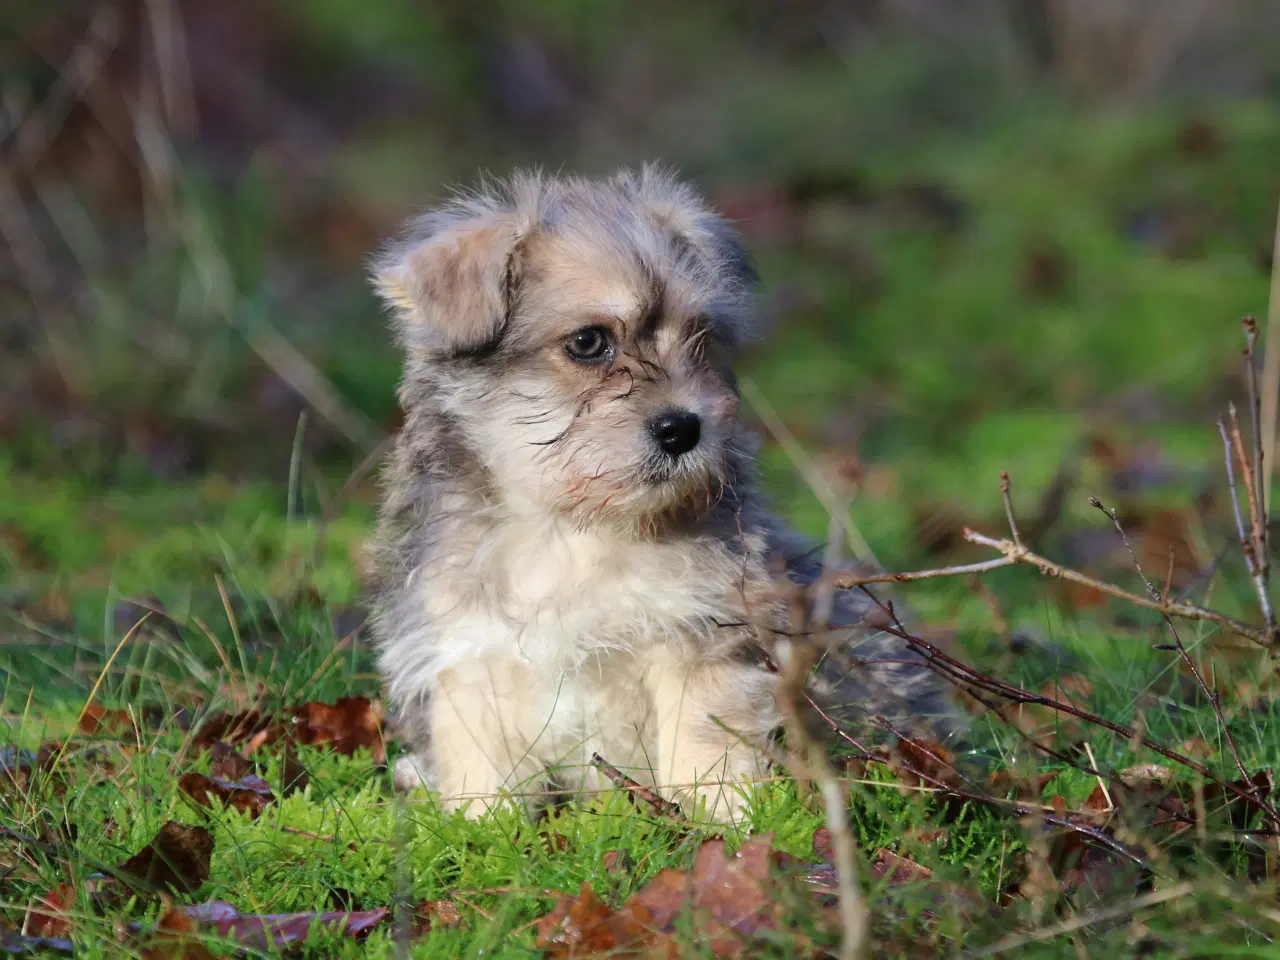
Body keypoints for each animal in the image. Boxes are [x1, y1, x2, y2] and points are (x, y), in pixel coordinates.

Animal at [366, 167, 957, 829]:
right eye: (588, 342)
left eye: (699, 337)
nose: (684, 428)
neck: (570, 529)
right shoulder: (467, 657)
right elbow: (482, 776)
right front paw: (481, 831)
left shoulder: (700, 637)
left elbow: (704, 745)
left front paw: (718, 819)